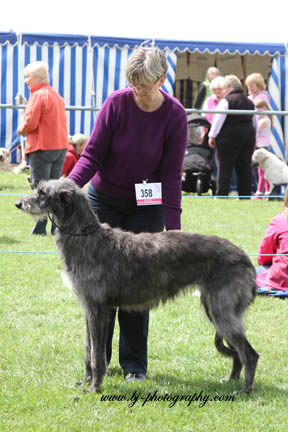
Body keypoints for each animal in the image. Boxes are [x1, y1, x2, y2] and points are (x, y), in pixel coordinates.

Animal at [15, 177, 258, 394]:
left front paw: (94, 387)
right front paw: (85, 382)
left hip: (222, 311)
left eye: (42, 192)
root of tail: (246, 258)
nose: (18, 203)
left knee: (250, 354)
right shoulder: (88, 309)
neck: (85, 237)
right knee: (239, 352)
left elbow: (96, 356)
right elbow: (87, 351)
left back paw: (244, 390)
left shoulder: (97, 309)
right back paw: (232, 379)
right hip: (214, 308)